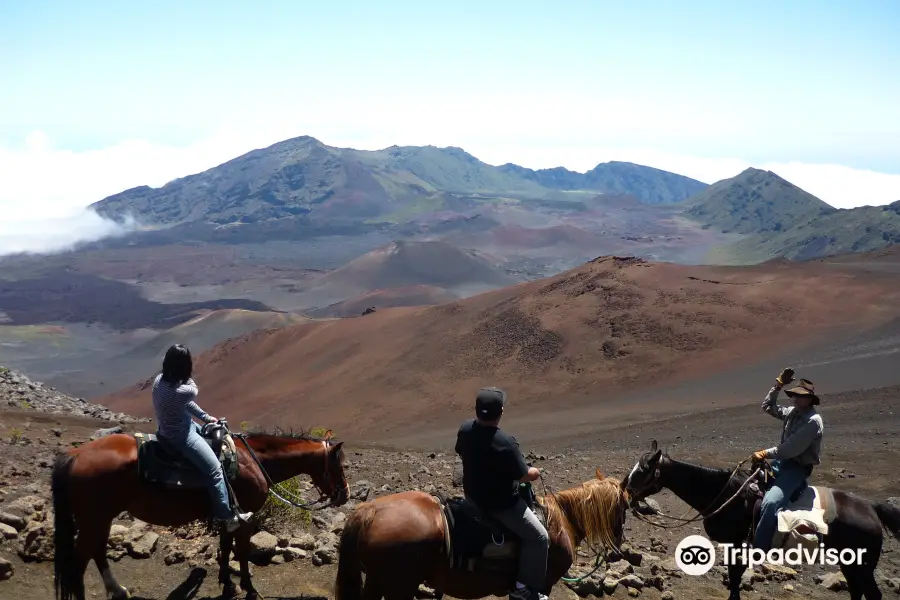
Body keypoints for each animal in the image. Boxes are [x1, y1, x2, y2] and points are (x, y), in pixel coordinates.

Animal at [51, 426, 350, 600]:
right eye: (339, 466)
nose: (345, 495)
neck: (253, 460)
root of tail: (74, 455)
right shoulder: (245, 517)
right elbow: (241, 552)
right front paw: (249, 588)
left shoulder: (229, 515)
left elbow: (225, 548)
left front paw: (227, 583)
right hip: (95, 518)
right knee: (80, 561)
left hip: (100, 518)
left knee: (97, 552)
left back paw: (118, 590)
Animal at [334, 472, 628, 600]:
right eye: (625, 505)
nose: (618, 547)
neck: (561, 519)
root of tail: (369, 510)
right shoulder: (543, 584)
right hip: (400, 586)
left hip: (377, 581)